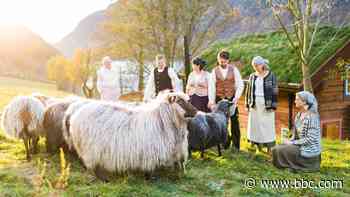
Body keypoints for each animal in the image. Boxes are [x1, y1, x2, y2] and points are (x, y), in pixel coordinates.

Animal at [69, 92, 198, 180]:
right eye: (180, 102)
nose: (196, 111)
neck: (161, 119)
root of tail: (75, 116)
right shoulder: (149, 154)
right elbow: (149, 169)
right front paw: (149, 178)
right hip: (91, 149)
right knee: (93, 166)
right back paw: (103, 179)